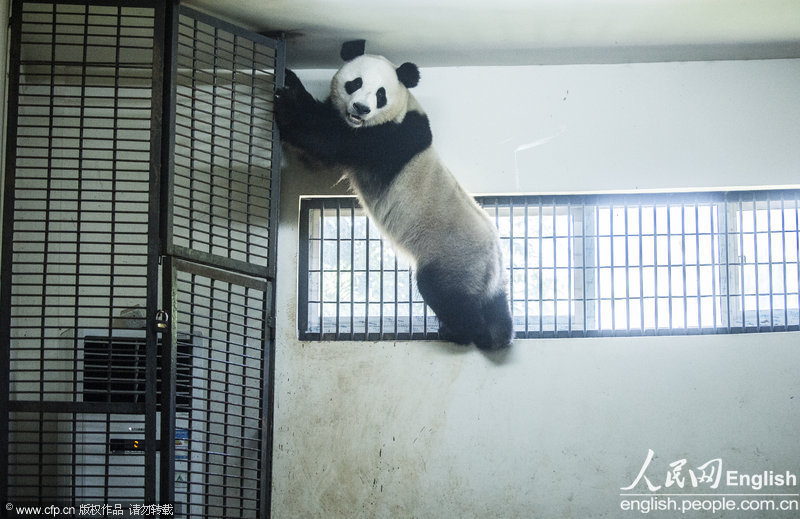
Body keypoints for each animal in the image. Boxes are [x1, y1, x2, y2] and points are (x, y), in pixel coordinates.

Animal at [276, 39, 512, 350]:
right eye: (355, 82)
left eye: (380, 95)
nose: (361, 108)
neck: (404, 107)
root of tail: (493, 260)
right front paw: (290, 81)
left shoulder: (387, 140)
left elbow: (327, 141)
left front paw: (284, 103)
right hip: (487, 277)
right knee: (496, 307)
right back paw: (497, 333)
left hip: (452, 257)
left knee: (446, 294)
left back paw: (462, 332)